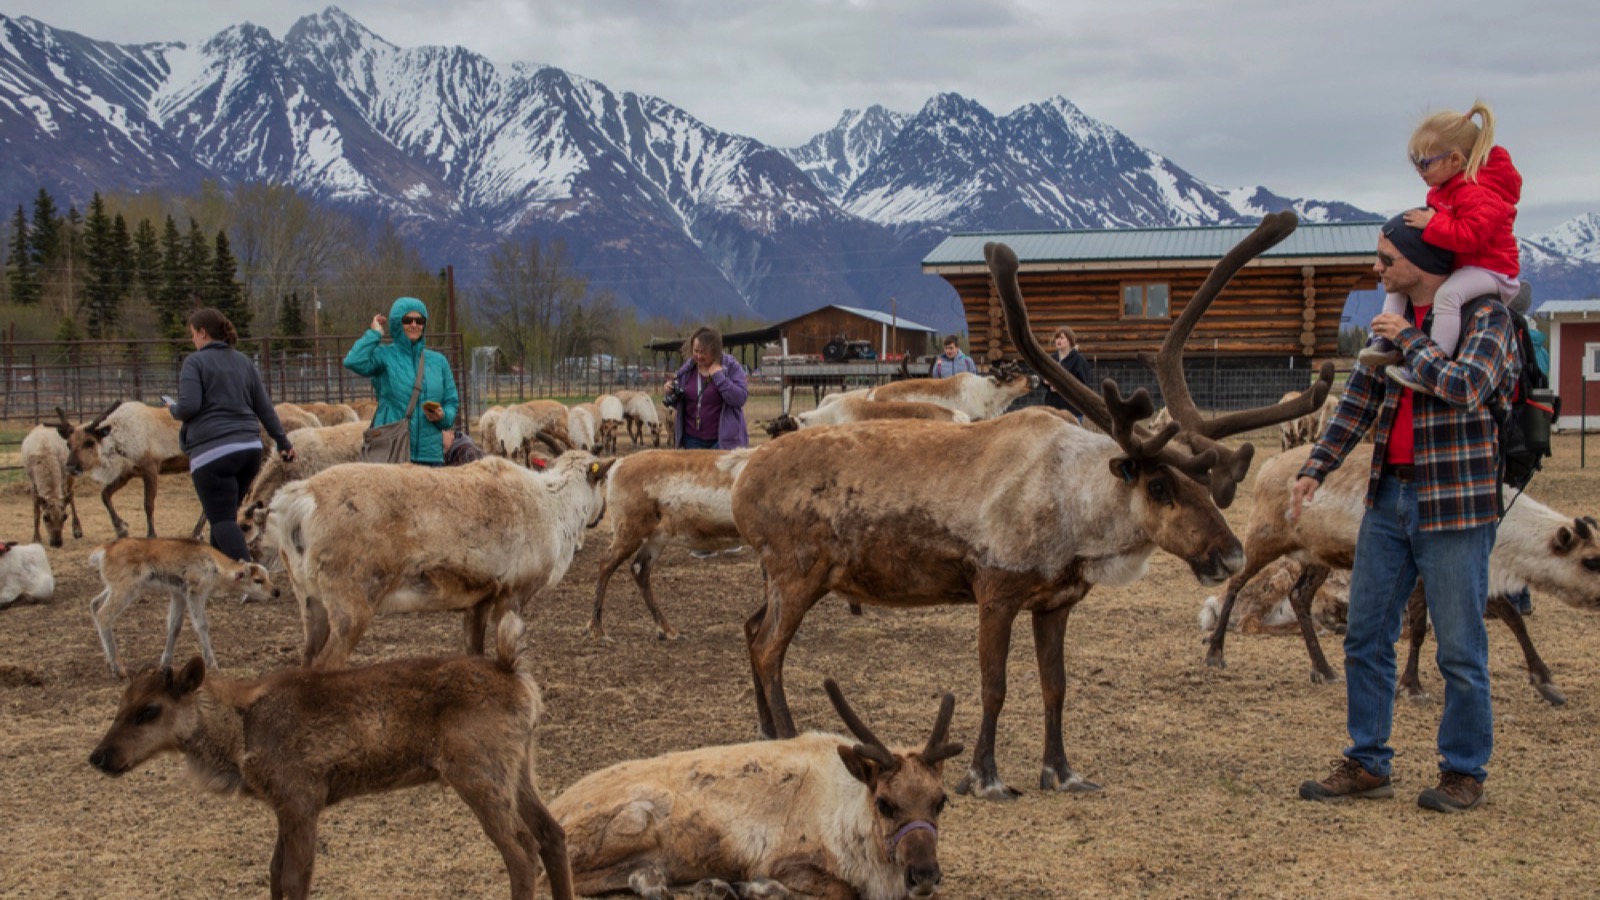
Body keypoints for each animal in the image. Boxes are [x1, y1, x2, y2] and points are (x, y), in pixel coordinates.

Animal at [727, 211, 1333, 800]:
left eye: (1208, 484)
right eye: (1161, 487)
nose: (1231, 555)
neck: (1076, 517)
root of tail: (742, 479)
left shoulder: (1055, 603)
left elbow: (1055, 687)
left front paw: (1061, 772)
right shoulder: (995, 593)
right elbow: (993, 688)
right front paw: (984, 776)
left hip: (778, 575)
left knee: (751, 629)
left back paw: (764, 731)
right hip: (798, 572)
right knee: (769, 649)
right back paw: (786, 736)